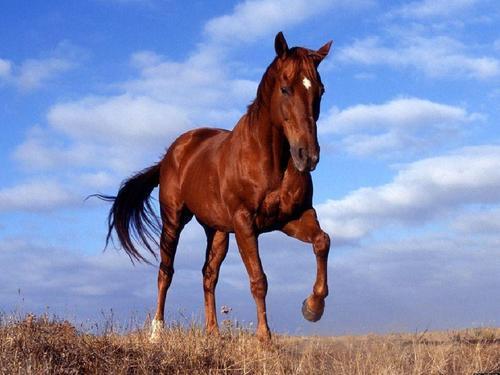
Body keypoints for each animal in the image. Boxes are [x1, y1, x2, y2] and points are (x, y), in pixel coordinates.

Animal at [97, 33, 332, 344]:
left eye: (320, 90)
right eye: (285, 88)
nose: (308, 156)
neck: (270, 160)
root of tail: (171, 154)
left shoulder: (292, 218)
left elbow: (322, 241)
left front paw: (313, 307)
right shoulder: (245, 223)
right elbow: (259, 279)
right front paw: (264, 339)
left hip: (217, 231)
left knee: (208, 275)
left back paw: (213, 333)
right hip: (174, 220)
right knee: (166, 272)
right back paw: (157, 332)